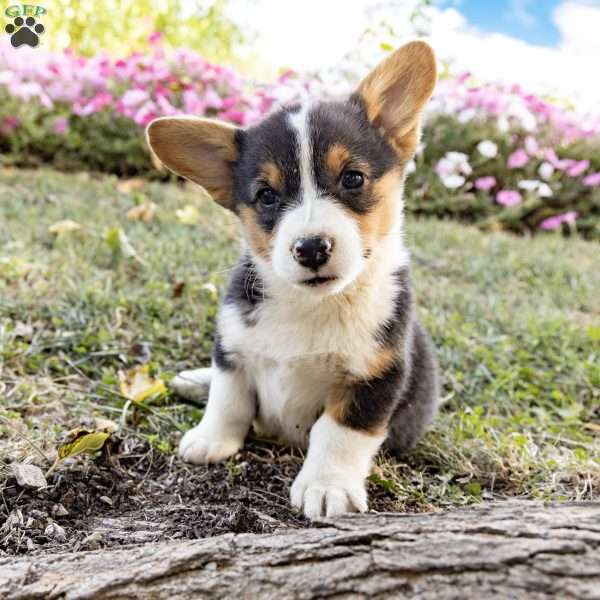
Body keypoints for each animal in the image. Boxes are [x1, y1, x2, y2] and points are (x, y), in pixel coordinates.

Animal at [147, 39, 440, 516]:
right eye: (267, 196)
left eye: (352, 178)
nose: (311, 248)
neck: (310, 304)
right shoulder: (233, 344)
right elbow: (228, 397)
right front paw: (211, 439)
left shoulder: (376, 378)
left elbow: (338, 433)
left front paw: (327, 486)